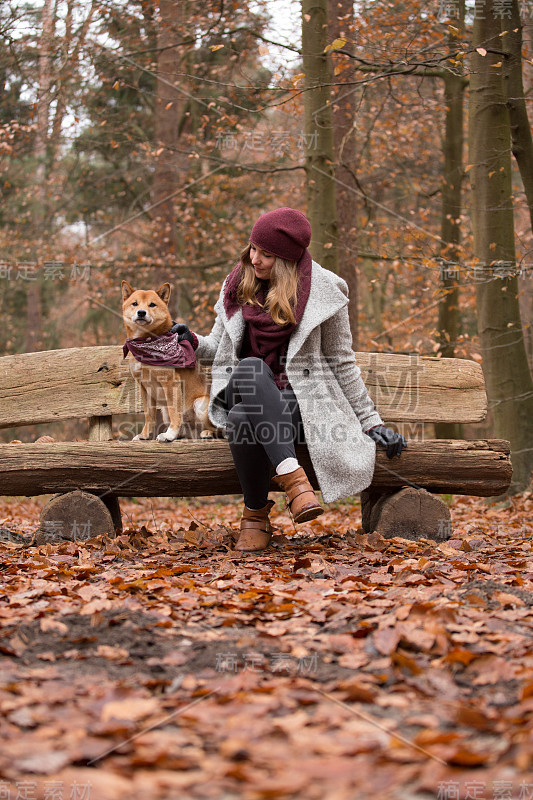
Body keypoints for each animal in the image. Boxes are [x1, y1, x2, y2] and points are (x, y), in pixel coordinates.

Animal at [121, 282, 216, 444]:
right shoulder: (143, 387)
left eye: (152, 305)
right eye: (135, 303)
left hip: (200, 404)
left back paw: (208, 432)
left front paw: (169, 434)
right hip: (164, 410)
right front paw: (144, 435)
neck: (145, 341)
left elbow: (174, 412)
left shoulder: (170, 382)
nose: (141, 312)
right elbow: (149, 415)